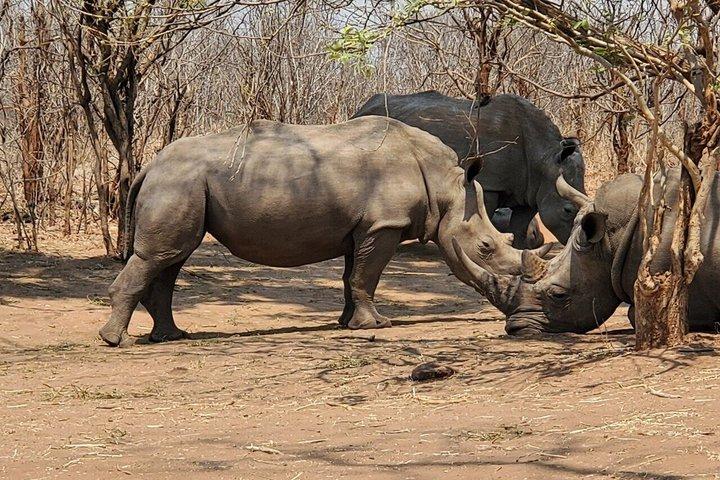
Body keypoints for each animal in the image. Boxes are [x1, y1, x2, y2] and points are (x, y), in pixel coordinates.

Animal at [99, 116, 547, 347]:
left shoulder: (364, 227)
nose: (513, 310)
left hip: (182, 182)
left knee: (171, 258)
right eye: (486, 247)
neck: (444, 184)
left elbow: (353, 276)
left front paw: (348, 323)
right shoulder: (383, 225)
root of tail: (149, 165)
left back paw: (172, 337)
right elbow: (367, 275)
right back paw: (118, 342)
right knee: (161, 256)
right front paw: (376, 327)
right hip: (179, 181)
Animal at [352, 90, 585, 248]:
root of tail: (360, 109)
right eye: (568, 210)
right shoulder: (490, 183)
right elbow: (482, 213)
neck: (545, 157)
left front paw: (521, 253)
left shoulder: (530, 190)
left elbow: (520, 226)